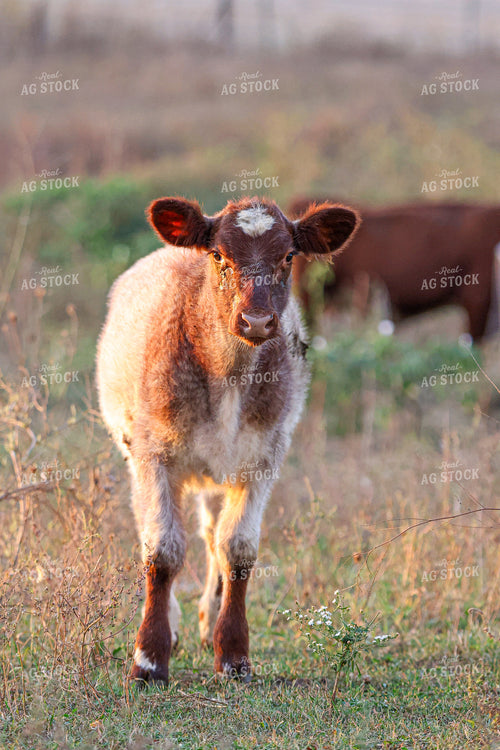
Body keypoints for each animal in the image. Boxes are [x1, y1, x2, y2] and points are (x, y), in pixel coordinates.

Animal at [96, 196, 359, 686]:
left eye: (288, 256)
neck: (228, 374)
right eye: (219, 255)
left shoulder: (264, 456)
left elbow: (237, 549)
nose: (256, 320)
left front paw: (233, 652)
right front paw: (150, 658)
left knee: (212, 534)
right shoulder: (153, 454)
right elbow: (162, 550)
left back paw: (208, 618)